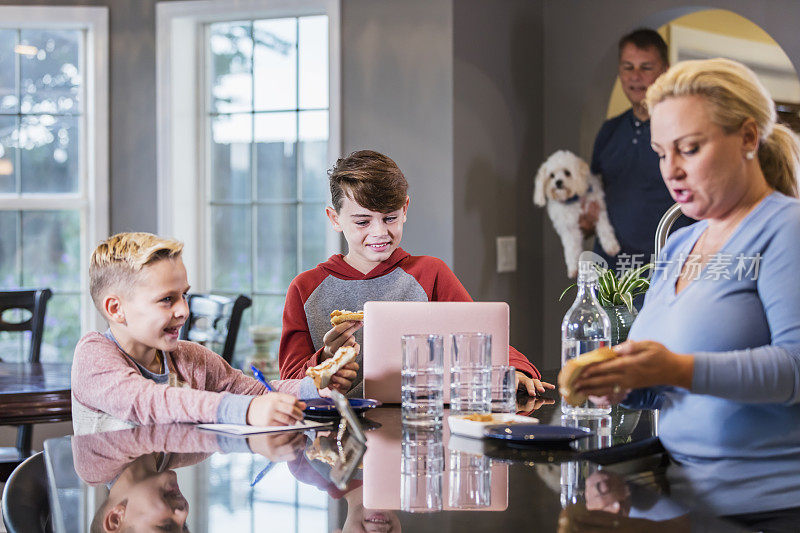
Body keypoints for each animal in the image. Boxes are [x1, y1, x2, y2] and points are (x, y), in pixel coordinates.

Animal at [536, 148, 620, 276]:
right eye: (551, 175)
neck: (572, 200)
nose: (558, 182)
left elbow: (605, 229)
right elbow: (571, 248)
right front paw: (573, 268)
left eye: (567, 173)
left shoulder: (597, 209)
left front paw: (611, 246)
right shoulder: (568, 228)